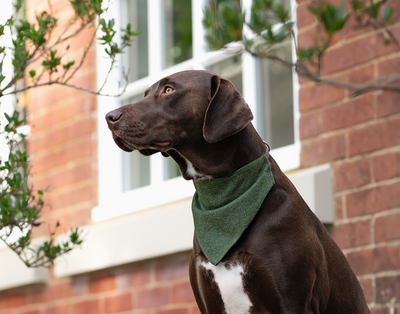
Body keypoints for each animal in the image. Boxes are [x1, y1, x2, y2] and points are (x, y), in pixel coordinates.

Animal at [105, 71, 368, 314]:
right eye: (145, 94)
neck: (223, 197)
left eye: (168, 90)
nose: (110, 117)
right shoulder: (208, 301)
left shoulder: (292, 301)